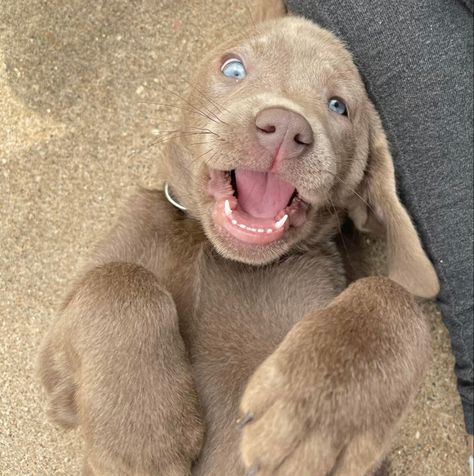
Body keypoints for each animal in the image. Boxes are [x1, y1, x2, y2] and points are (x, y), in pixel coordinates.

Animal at [38, 11, 440, 476]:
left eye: (339, 105)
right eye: (233, 69)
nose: (285, 128)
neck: (219, 252)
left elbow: (389, 292)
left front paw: (311, 414)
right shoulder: (56, 367)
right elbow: (115, 279)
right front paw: (140, 438)